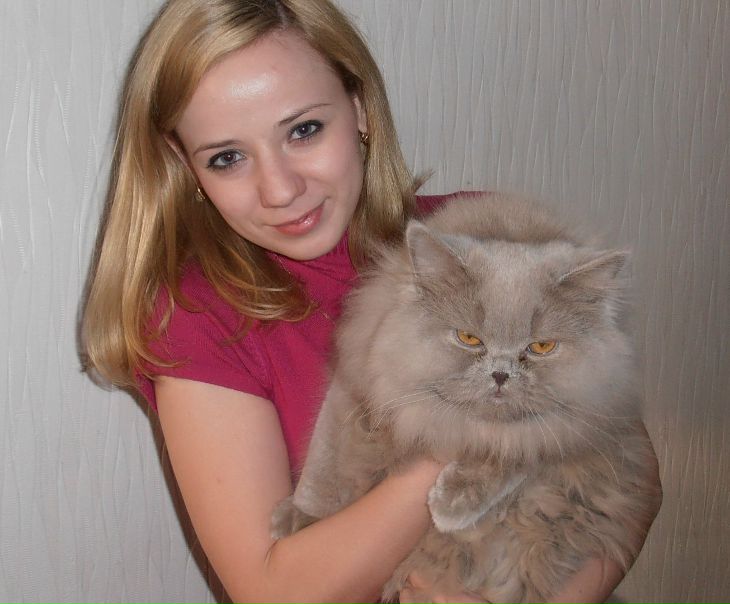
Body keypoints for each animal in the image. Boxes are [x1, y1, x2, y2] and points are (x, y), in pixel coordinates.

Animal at [271, 192, 660, 604]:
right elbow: (324, 459)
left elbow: (512, 453)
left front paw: (451, 504)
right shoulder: (357, 379)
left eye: (540, 347)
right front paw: (299, 517)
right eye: (469, 338)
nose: (501, 374)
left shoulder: (582, 419)